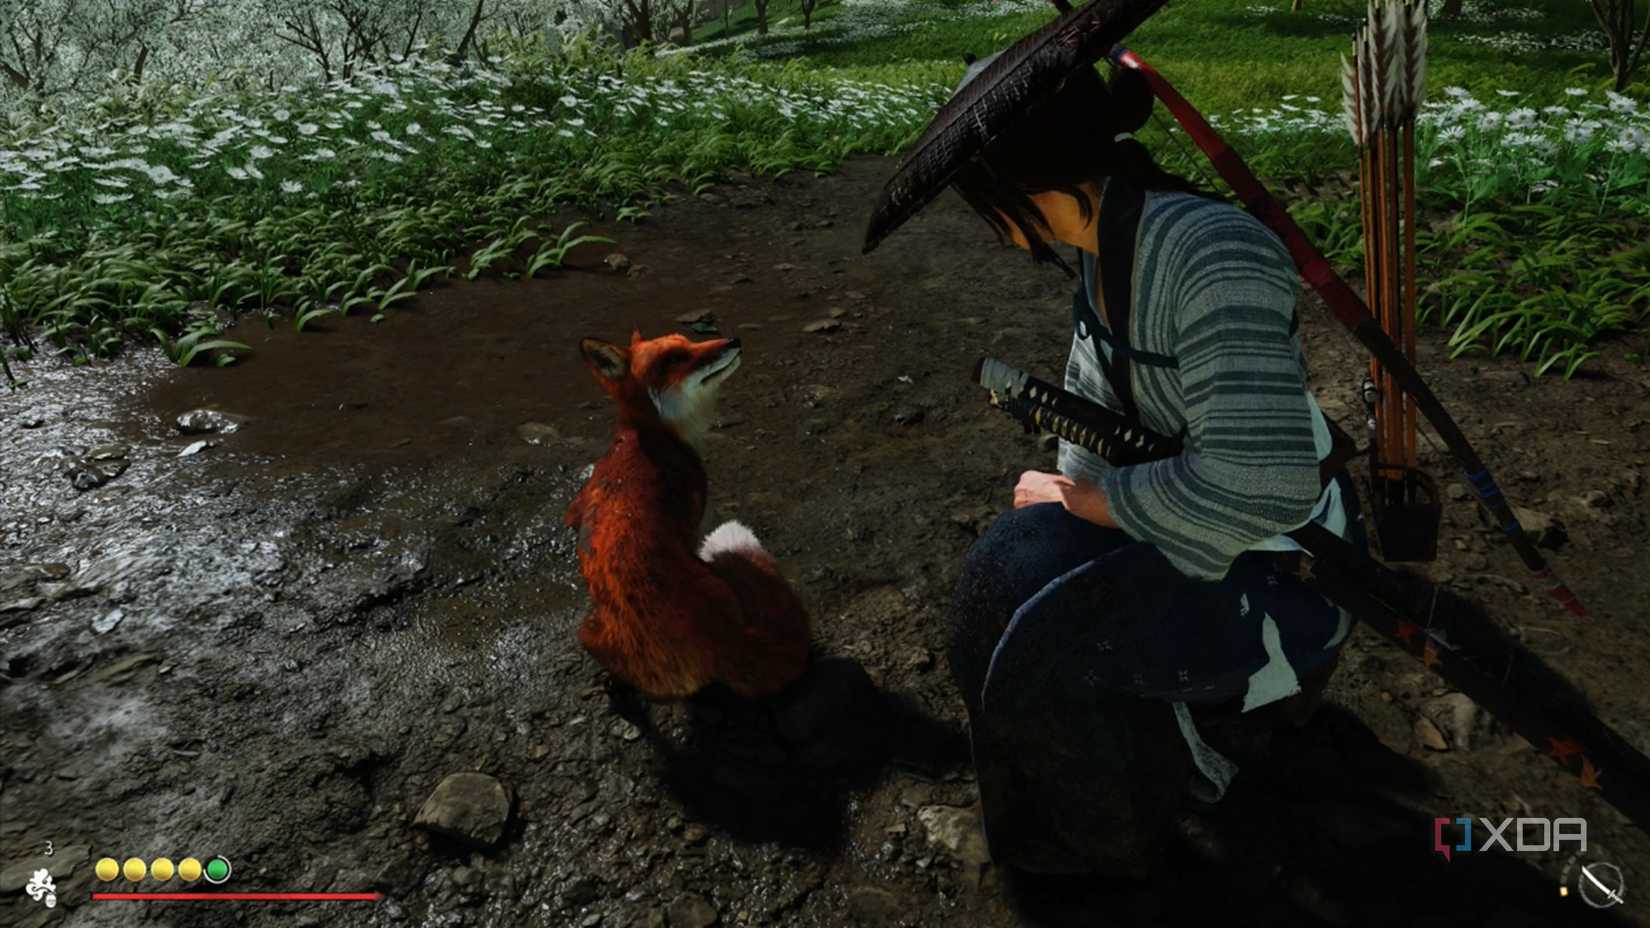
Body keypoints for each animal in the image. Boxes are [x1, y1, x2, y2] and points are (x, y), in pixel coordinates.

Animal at [565, 331, 812, 702]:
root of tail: (723, 640)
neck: (648, 436)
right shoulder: (694, 519)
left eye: (688, 341)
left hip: (587, 628)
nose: (733, 340)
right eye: (674, 359)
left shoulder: (577, 506)